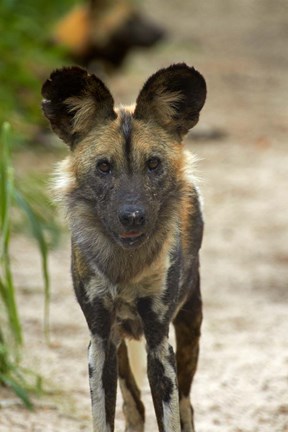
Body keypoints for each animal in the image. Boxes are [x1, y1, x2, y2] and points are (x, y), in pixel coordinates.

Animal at [41, 64, 206, 432]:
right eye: (104, 167)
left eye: (153, 165)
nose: (132, 217)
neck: (125, 267)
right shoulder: (100, 340)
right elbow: (104, 417)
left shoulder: (159, 343)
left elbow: (170, 418)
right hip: (117, 344)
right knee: (135, 407)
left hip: (189, 325)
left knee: (186, 405)